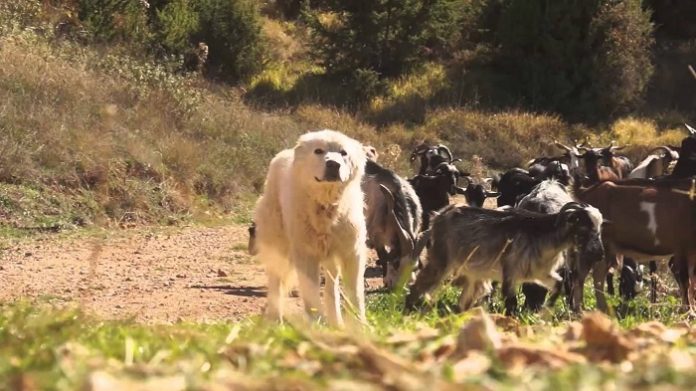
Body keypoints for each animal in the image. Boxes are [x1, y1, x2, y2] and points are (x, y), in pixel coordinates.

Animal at [253, 129, 368, 328]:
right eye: (318, 151)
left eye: (343, 153)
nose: (333, 164)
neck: (326, 205)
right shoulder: (306, 254)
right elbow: (311, 294)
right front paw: (317, 324)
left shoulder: (351, 253)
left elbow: (355, 295)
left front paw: (359, 327)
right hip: (279, 244)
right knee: (275, 281)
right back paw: (275, 320)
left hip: (330, 258)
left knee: (331, 287)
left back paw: (336, 322)